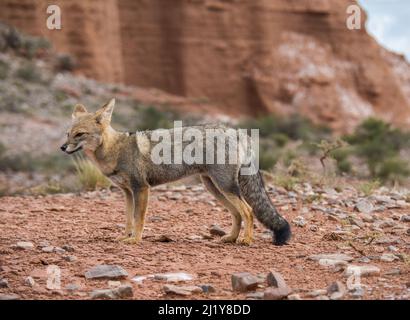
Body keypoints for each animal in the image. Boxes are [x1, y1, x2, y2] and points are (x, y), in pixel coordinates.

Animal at [60, 99, 292, 246]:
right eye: (68, 133)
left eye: (79, 135)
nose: (62, 148)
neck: (114, 149)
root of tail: (235, 130)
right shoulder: (126, 192)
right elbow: (128, 219)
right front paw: (125, 236)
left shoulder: (141, 188)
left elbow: (138, 218)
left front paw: (135, 239)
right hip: (214, 188)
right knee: (237, 213)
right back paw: (231, 238)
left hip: (225, 187)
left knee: (248, 211)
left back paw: (246, 240)